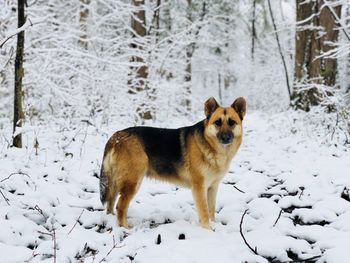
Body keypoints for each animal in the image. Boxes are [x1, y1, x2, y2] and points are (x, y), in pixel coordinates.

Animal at [99, 97, 246, 229]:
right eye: (217, 122)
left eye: (232, 122)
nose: (226, 138)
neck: (211, 146)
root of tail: (116, 136)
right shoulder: (199, 188)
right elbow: (204, 213)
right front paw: (208, 231)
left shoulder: (213, 187)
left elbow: (211, 211)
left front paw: (213, 225)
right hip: (132, 182)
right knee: (120, 206)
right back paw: (125, 228)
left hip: (117, 183)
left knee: (111, 204)